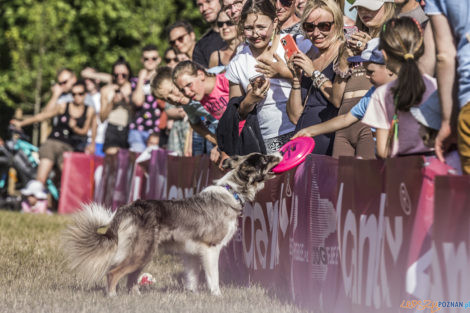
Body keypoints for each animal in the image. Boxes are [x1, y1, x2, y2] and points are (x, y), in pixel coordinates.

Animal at [62, 152, 282, 296]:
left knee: (131, 279)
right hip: (142, 252)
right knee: (113, 273)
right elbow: (214, 278)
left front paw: (192, 295)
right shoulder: (211, 249)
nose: (279, 152)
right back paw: (112, 297)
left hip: (145, 254)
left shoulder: (192, 253)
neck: (232, 191)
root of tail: (127, 208)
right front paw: (217, 296)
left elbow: (192, 278)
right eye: (265, 158)